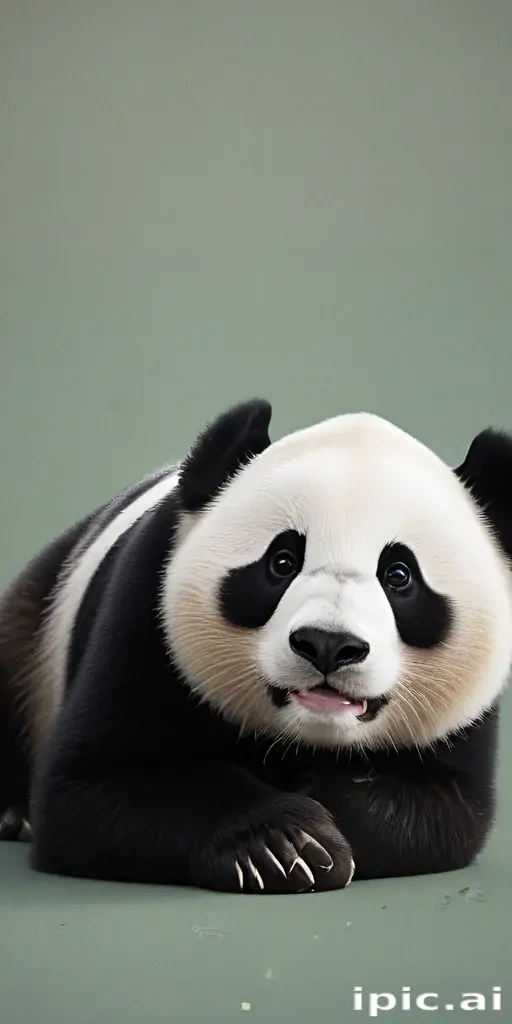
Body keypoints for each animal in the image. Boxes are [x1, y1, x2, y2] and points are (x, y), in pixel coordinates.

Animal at [1, 398, 511, 894]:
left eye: (399, 575)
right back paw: (12, 815)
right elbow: (90, 788)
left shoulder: (466, 721)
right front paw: (285, 847)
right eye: (282, 561)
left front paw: (327, 812)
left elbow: (446, 809)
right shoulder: (146, 616)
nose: (328, 644)